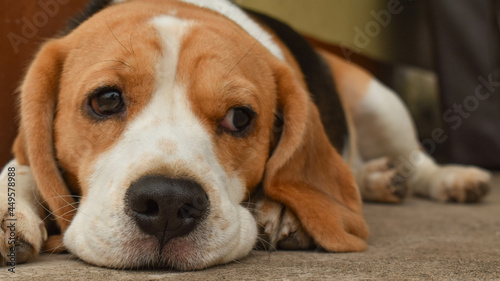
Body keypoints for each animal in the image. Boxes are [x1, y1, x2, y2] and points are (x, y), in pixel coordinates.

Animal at [0, 0, 492, 270]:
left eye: (240, 118)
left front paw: (281, 211)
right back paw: (377, 179)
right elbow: (20, 168)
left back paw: (452, 179)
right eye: (105, 100)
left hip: (381, 103)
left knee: (417, 161)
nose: (167, 204)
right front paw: (14, 213)